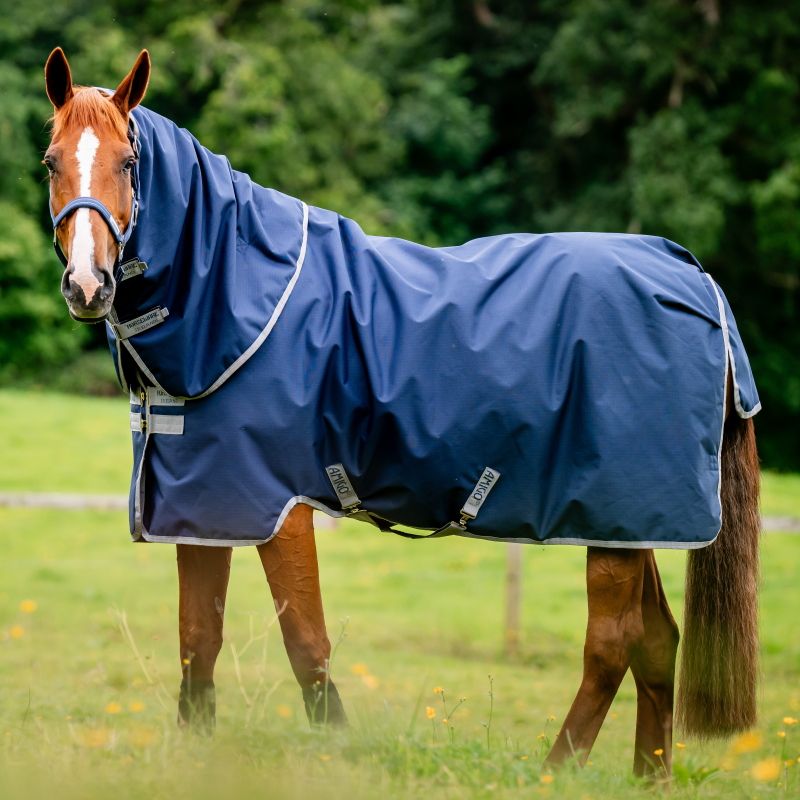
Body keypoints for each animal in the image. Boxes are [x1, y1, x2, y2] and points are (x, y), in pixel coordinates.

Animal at [43, 47, 761, 777]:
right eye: (51, 161)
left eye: (128, 162)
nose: (87, 285)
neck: (238, 301)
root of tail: (695, 278)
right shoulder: (205, 504)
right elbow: (198, 639)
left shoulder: (280, 508)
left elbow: (306, 644)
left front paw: (336, 752)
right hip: (627, 525)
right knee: (656, 641)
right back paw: (650, 776)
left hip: (614, 523)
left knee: (611, 644)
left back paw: (554, 772)